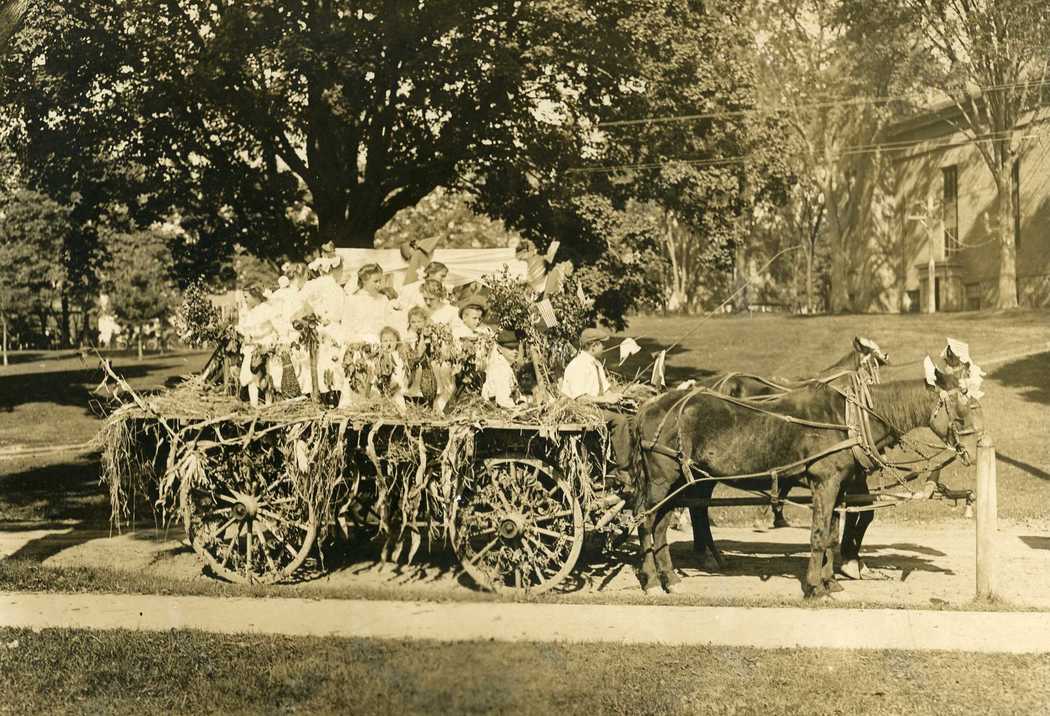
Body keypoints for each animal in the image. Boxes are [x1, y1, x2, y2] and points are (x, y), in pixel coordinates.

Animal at [630, 363, 982, 596]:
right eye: (964, 400)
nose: (979, 440)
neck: (850, 419)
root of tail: (648, 406)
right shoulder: (825, 482)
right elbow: (819, 534)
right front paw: (816, 586)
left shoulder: (840, 485)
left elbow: (830, 534)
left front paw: (832, 580)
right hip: (663, 479)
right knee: (646, 521)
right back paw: (653, 578)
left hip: (682, 480)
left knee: (664, 524)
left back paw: (671, 577)